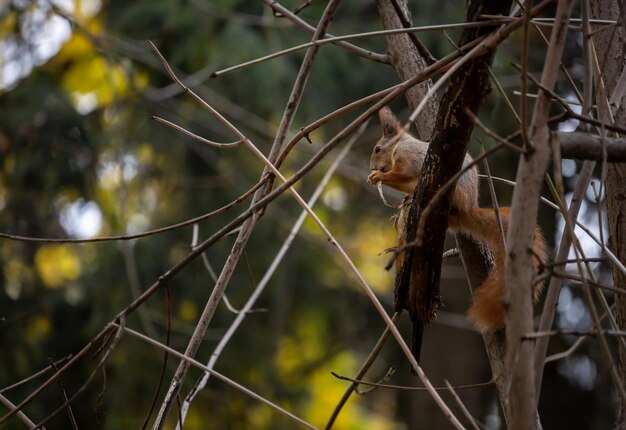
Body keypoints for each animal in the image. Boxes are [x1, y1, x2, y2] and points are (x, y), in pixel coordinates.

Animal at [366, 107, 544, 332]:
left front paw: (379, 178)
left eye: (377, 148)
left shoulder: (408, 156)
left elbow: (402, 173)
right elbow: (405, 183)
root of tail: (468, 209)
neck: (400, 144)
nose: (372, 167)